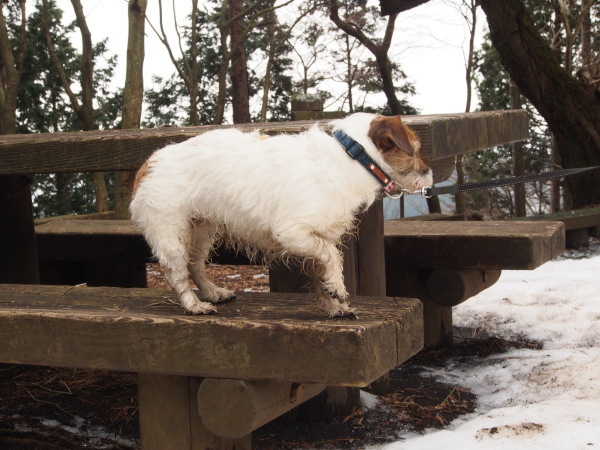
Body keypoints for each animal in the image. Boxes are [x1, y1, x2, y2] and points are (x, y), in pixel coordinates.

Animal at [130, 112, 432, 316]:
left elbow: (321, 270)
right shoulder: (293, 233)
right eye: (415, 150)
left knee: (196, 265)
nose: (430, 174)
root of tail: (147, 164)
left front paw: (332, 305)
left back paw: (213, 293)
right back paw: (194, 305)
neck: (351, 156)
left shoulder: (316, 237)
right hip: (172, 235)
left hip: (201, 230)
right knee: (177, 273)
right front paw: (337, 288)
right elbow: (332, 257)